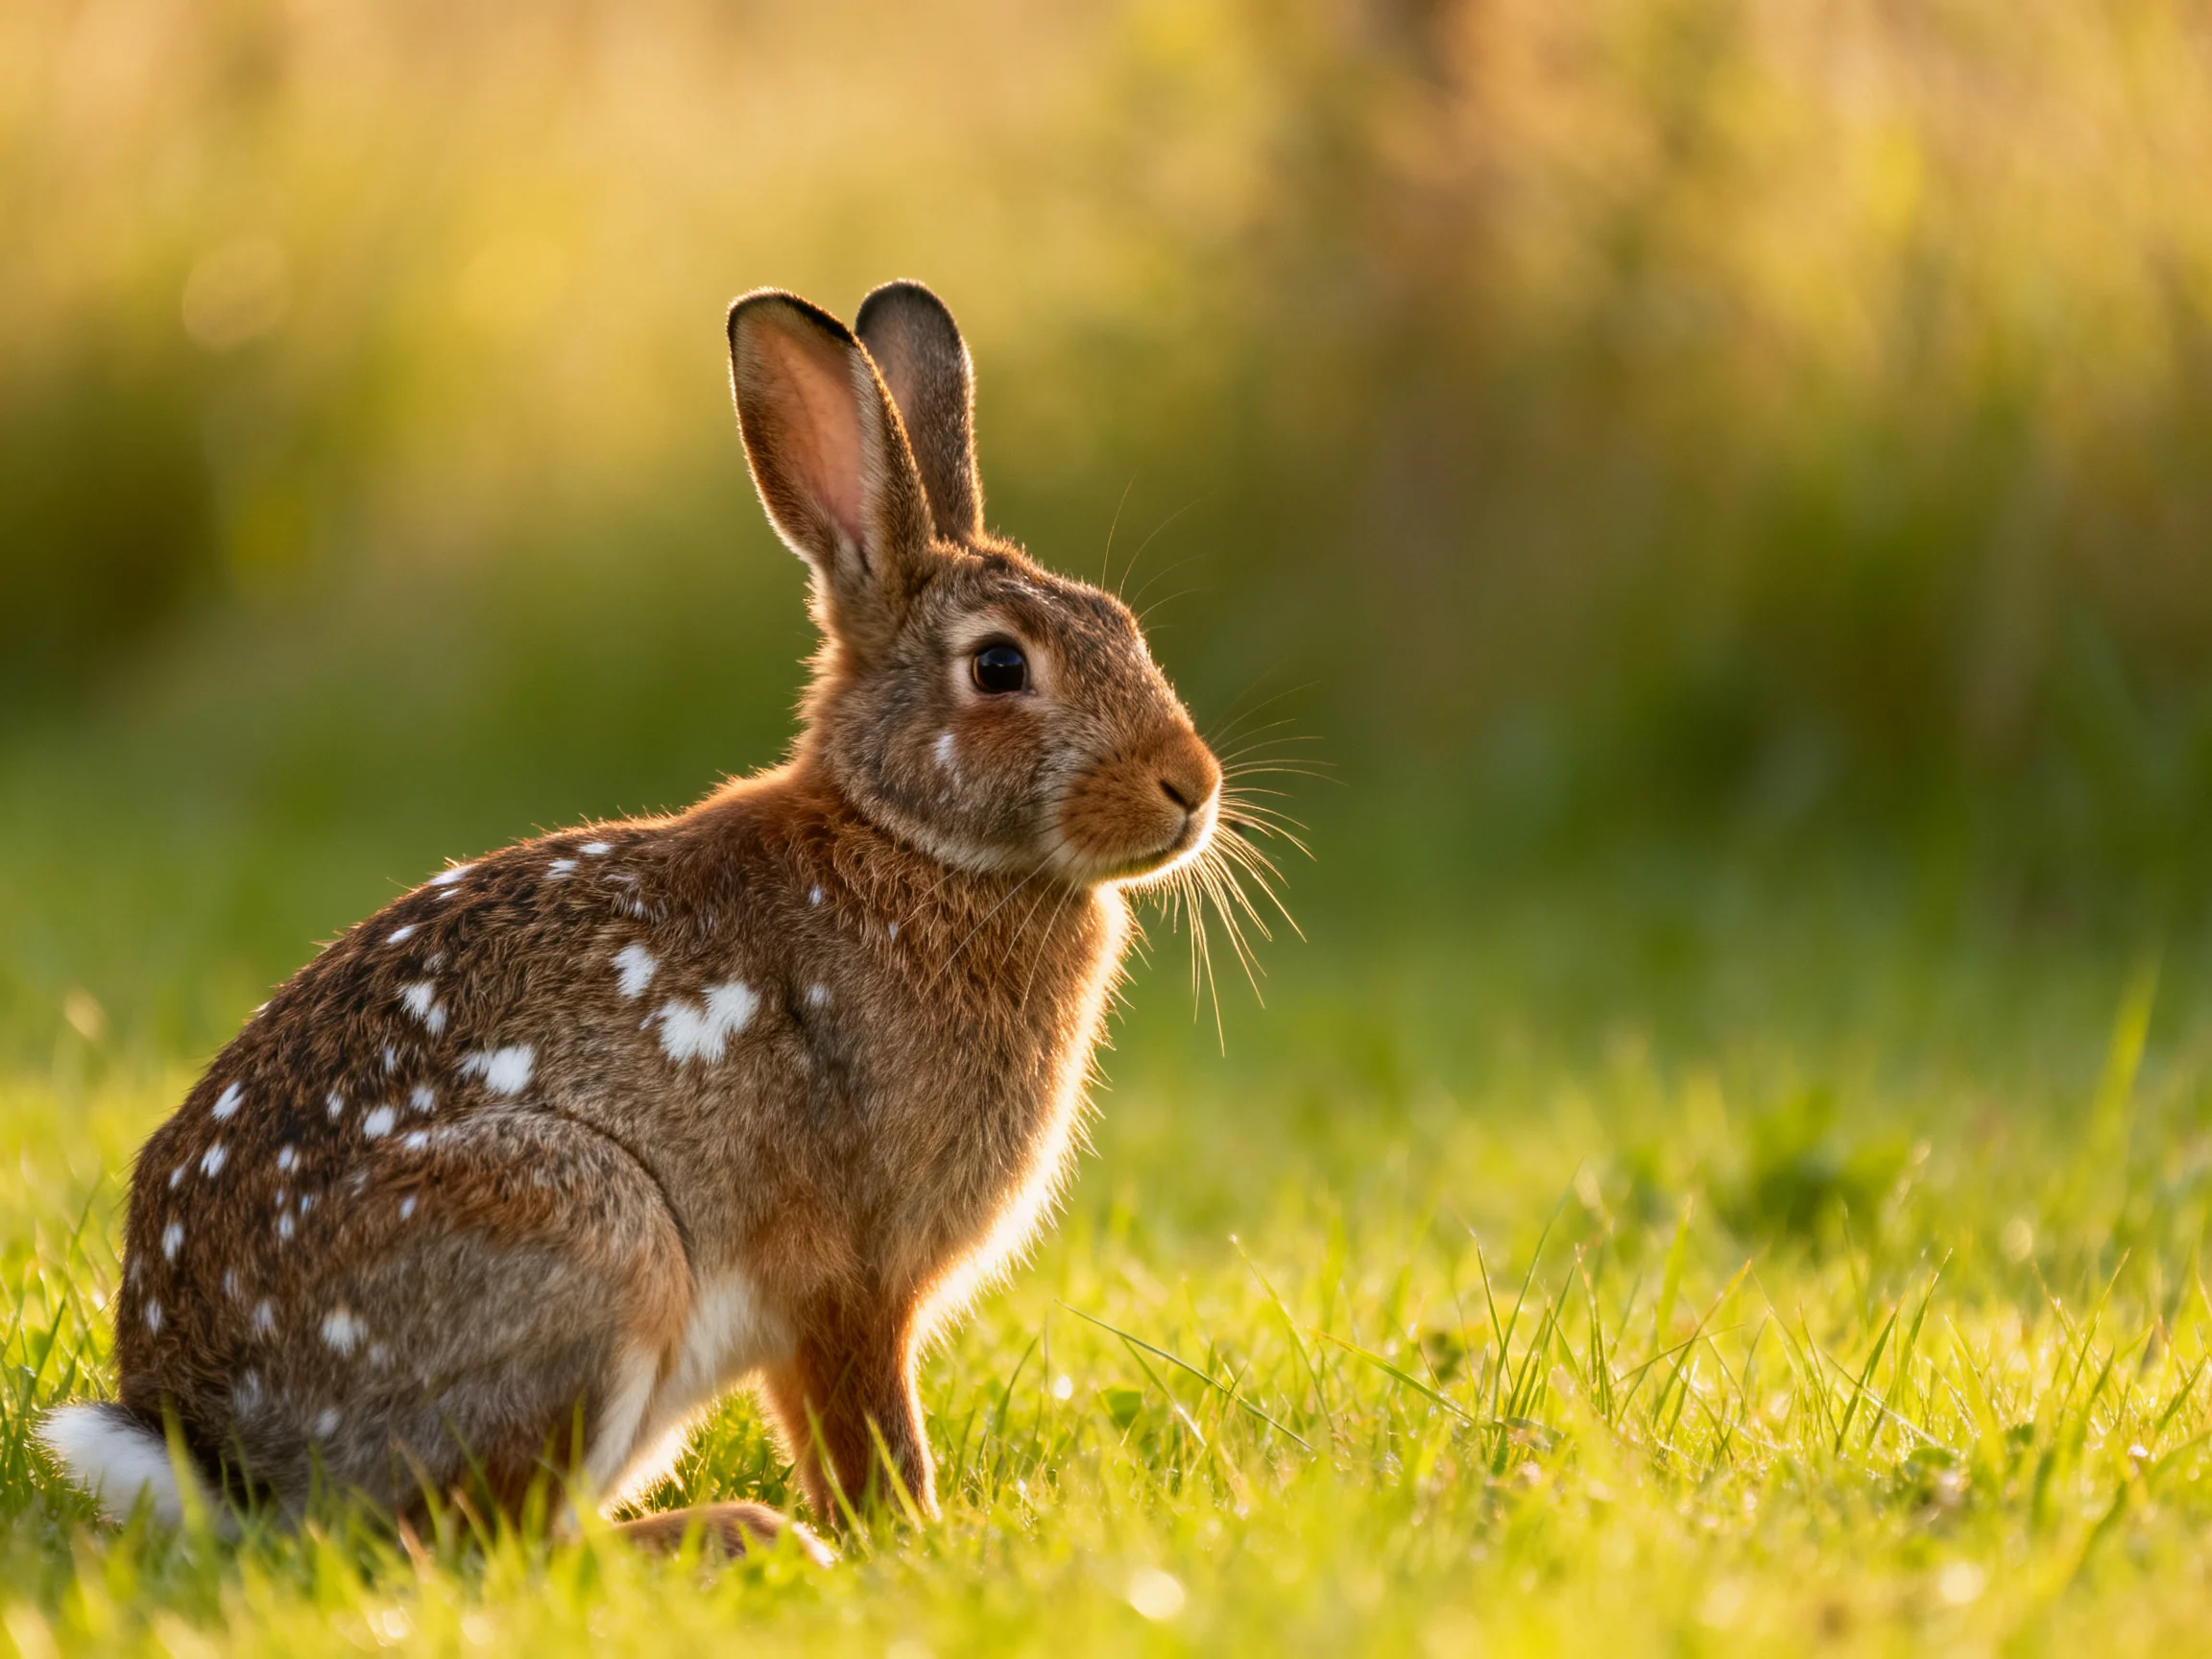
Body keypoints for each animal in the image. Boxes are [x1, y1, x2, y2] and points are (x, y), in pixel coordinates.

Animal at [38, 281, 1226, 1559]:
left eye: (1120, 624)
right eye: (1000, 666)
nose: (1191, 786)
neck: (906, 840)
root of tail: (220, 1457)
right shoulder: (851, 1276)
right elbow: (869, 1429)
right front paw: (914, 1541)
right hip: (590, 1236)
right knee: (482, 1541)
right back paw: (742, 1535)